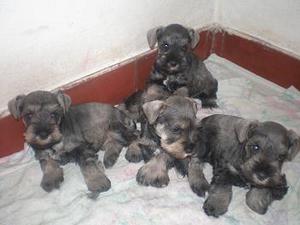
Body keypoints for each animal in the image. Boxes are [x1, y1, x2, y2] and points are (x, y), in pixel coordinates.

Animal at [8, 90, 137, 198]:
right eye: (29, 115)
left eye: (53, 114)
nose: (43, 134)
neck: (54, 144)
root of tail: (121, 113)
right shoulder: (42, 152)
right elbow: (47, 163)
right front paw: (50, 179)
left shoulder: (82, 149)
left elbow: (88, 166)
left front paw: (97, 182)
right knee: (116, 143)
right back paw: (110, 158)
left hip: (114, 127)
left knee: (135, 138)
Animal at [137, 95, 298, 216]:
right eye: (176, 129)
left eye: (196, 128)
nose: (191, 148)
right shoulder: (222, 169)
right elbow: (161, 154)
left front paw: (259, 199)